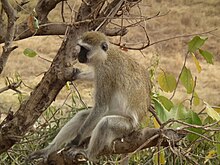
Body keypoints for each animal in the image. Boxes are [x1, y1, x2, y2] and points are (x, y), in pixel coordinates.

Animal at [28, 31, 150, 161]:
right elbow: (93, 77)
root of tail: (136, 126)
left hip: (126, 127)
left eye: (85, 49)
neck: (105, 56)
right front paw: (76, 74)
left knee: (105, 123)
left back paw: (88, 153)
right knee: (82, 116)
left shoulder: (105, 72)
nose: (79, 56)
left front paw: (76, 140)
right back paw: (49, 149)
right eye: (80, 47)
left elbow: (101, 107)